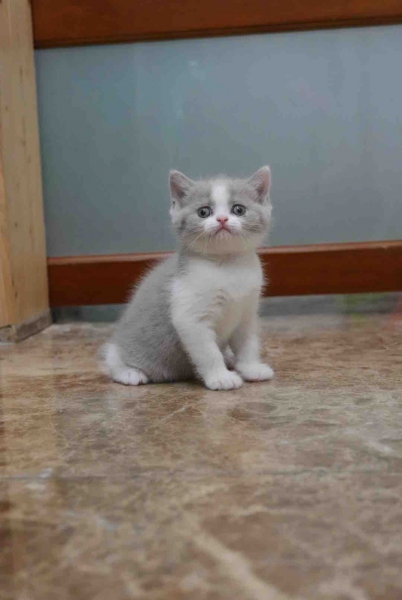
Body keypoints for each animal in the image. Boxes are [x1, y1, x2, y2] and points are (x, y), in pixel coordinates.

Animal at [103, 166, 274, 391]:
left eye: (238, 210)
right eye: (204, 212)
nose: (222, 219)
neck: (227, 265)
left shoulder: (246, 313)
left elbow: (247, 344)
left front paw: (251, 368)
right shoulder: (190, 317)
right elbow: (208, 352)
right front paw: (221, 377)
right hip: (126, 349)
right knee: (110, 357)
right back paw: (129, 372)